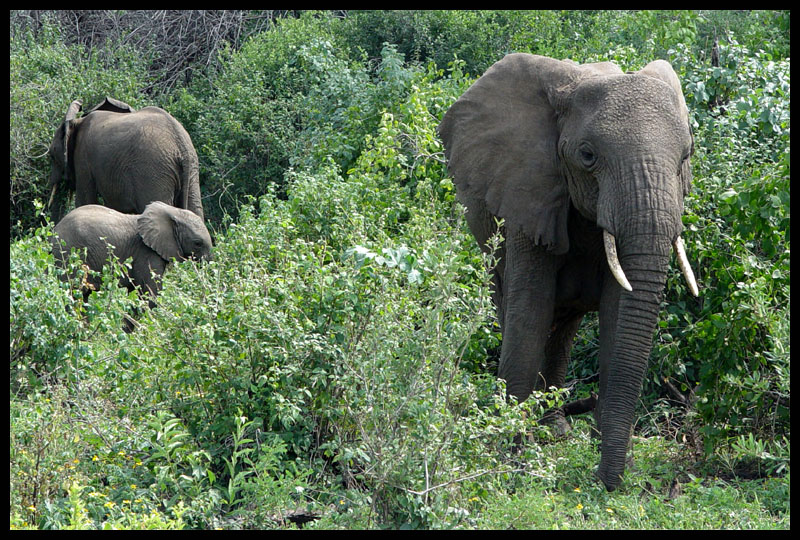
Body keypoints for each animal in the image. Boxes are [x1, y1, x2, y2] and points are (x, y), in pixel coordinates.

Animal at [46, 96, 206, 221]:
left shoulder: (83, 158)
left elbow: (85, 200)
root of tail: (181, 145)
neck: (78, 121)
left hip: (153, 172)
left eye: (52, 155)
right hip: (191, 171)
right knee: (196, 210)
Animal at [52, 200, 216, 314]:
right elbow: (150, 292)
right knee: (72, 294)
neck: (173, 212)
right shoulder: (146, 252)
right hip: (68, 255)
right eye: (198, 243)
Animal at [438, 53, 700, 490]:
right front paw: (512, 459)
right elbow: (529, 310)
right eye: (588, 155)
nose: (608, 483)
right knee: (513, 308)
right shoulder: (527, 189)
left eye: (685, 157)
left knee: (564, 327)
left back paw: (556, 429)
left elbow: (617, 313)